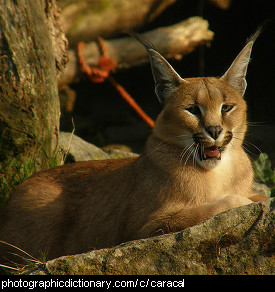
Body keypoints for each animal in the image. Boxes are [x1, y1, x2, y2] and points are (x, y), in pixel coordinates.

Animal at [0, 29, 268, 262]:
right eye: (192, 110)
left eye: (226, 107)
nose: (214, 130)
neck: (217, 173)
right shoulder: (147, 228)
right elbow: (205, 210)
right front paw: (243, 201)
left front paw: (255, 197)